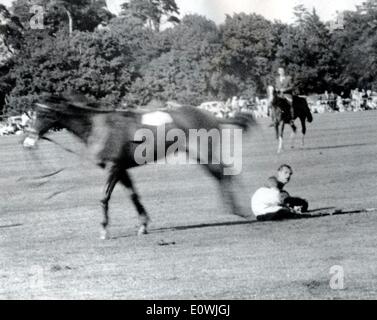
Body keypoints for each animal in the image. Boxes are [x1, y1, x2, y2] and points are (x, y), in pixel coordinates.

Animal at [23, 94, 256, 239]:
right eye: (34, 113)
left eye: (44, 114)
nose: (29, 141)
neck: (99, 126)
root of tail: (211, 116)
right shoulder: (122, 169)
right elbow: (134, 196)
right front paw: (143, 224)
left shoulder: (114, 168)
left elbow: (104, 198)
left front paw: (104, 230)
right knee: (221, 174)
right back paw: (233, 208)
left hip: (204, 153)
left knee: (225, 173)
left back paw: (239, 210)